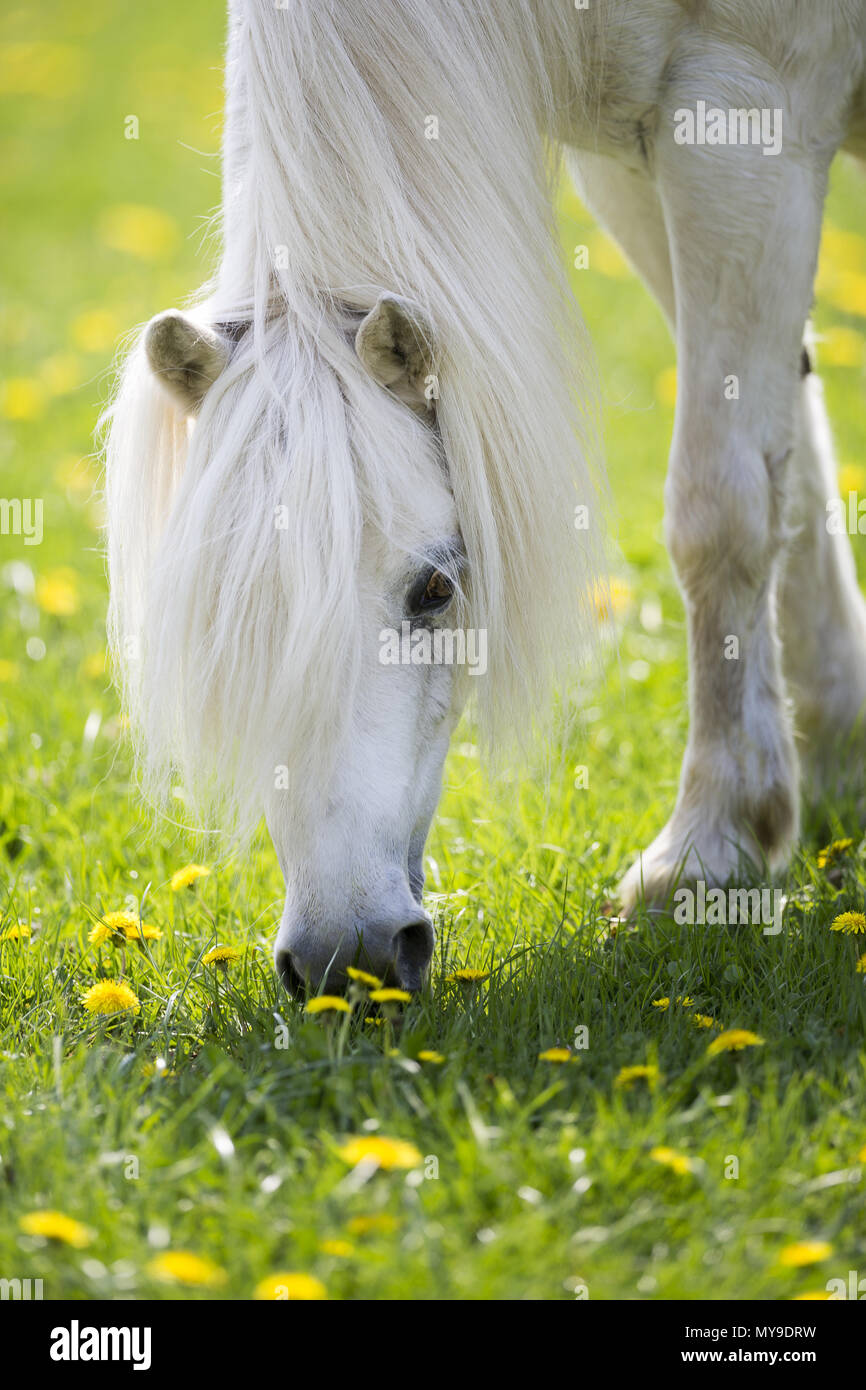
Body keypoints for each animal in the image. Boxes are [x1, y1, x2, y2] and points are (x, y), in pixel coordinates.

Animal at [105, 0, 866, 991]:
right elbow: (793, 465)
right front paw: (832, 752)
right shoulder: (636, 158)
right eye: (232, 626)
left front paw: (711, 848)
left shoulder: (746, 104)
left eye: (436, 590)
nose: (343, 961)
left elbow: (725, 510)